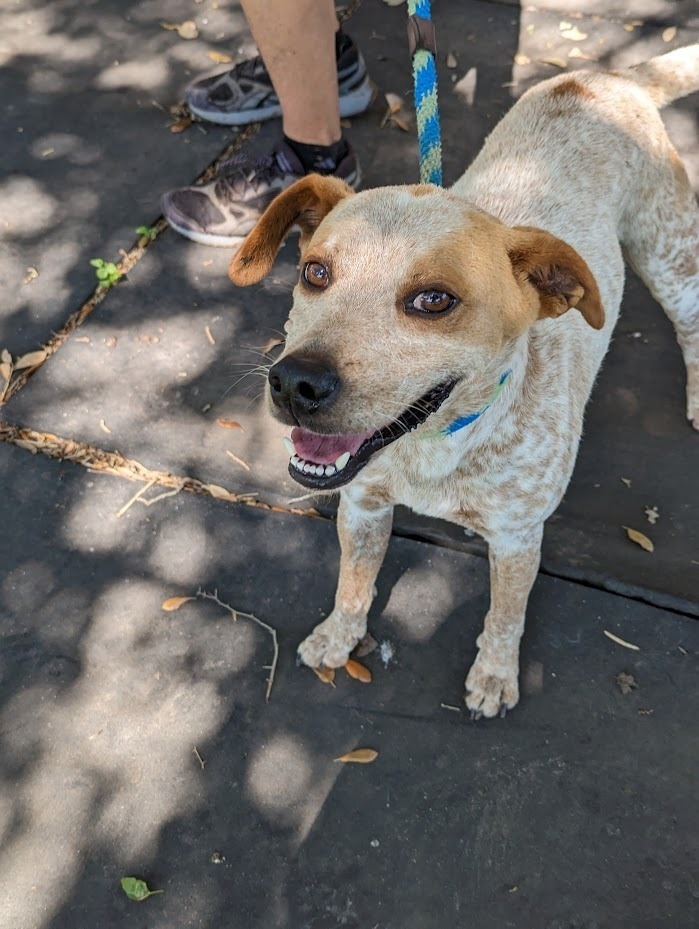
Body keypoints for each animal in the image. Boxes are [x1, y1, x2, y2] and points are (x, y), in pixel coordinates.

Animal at [230, 47, 699, 716]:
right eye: (315, 272)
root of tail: (609, 77)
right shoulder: (363, 505)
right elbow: (354, 584)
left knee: (690, 326)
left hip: (671, 259)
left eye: (434, 300)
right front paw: (338, 638)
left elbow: (505, 617)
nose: (295, 383)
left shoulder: (517, 539)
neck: (432, 449)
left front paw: (495, 677)